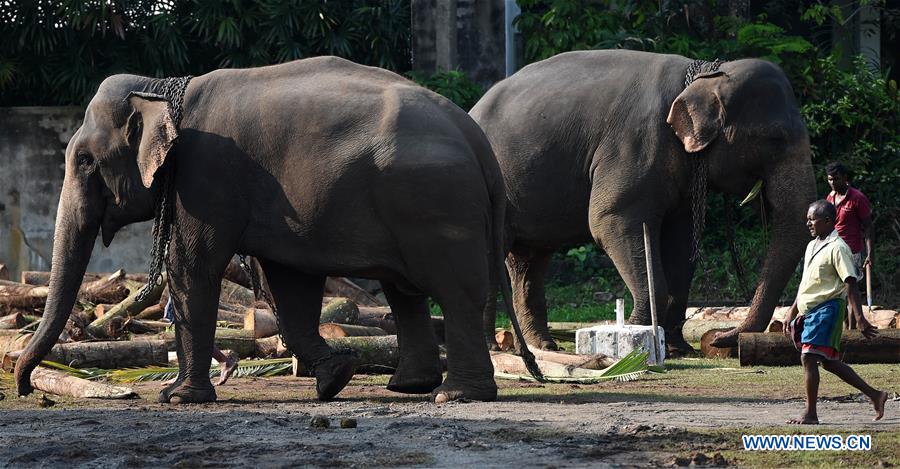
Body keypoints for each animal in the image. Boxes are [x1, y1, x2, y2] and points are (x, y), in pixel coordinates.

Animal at [15, 56, 531, 404]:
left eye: (84, 160)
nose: (25, 388)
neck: (162, 86)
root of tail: (477, 140)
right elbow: (288, 283)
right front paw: (336, 376)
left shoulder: (207, 176)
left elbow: (193, 267)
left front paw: (178, 399)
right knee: (405, 290)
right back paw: (409, 386)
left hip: (434, 205)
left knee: (454, 290)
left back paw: (457, 395)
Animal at [470, 50, 815, 353]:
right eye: (775, 139)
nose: (719, 338)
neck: (704, 74)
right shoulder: (635, 144)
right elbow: (611, 220)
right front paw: (638, 335)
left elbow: (680, 240)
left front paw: (676, 349)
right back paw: (493, 347)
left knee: (529, 260)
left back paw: (542, 346)